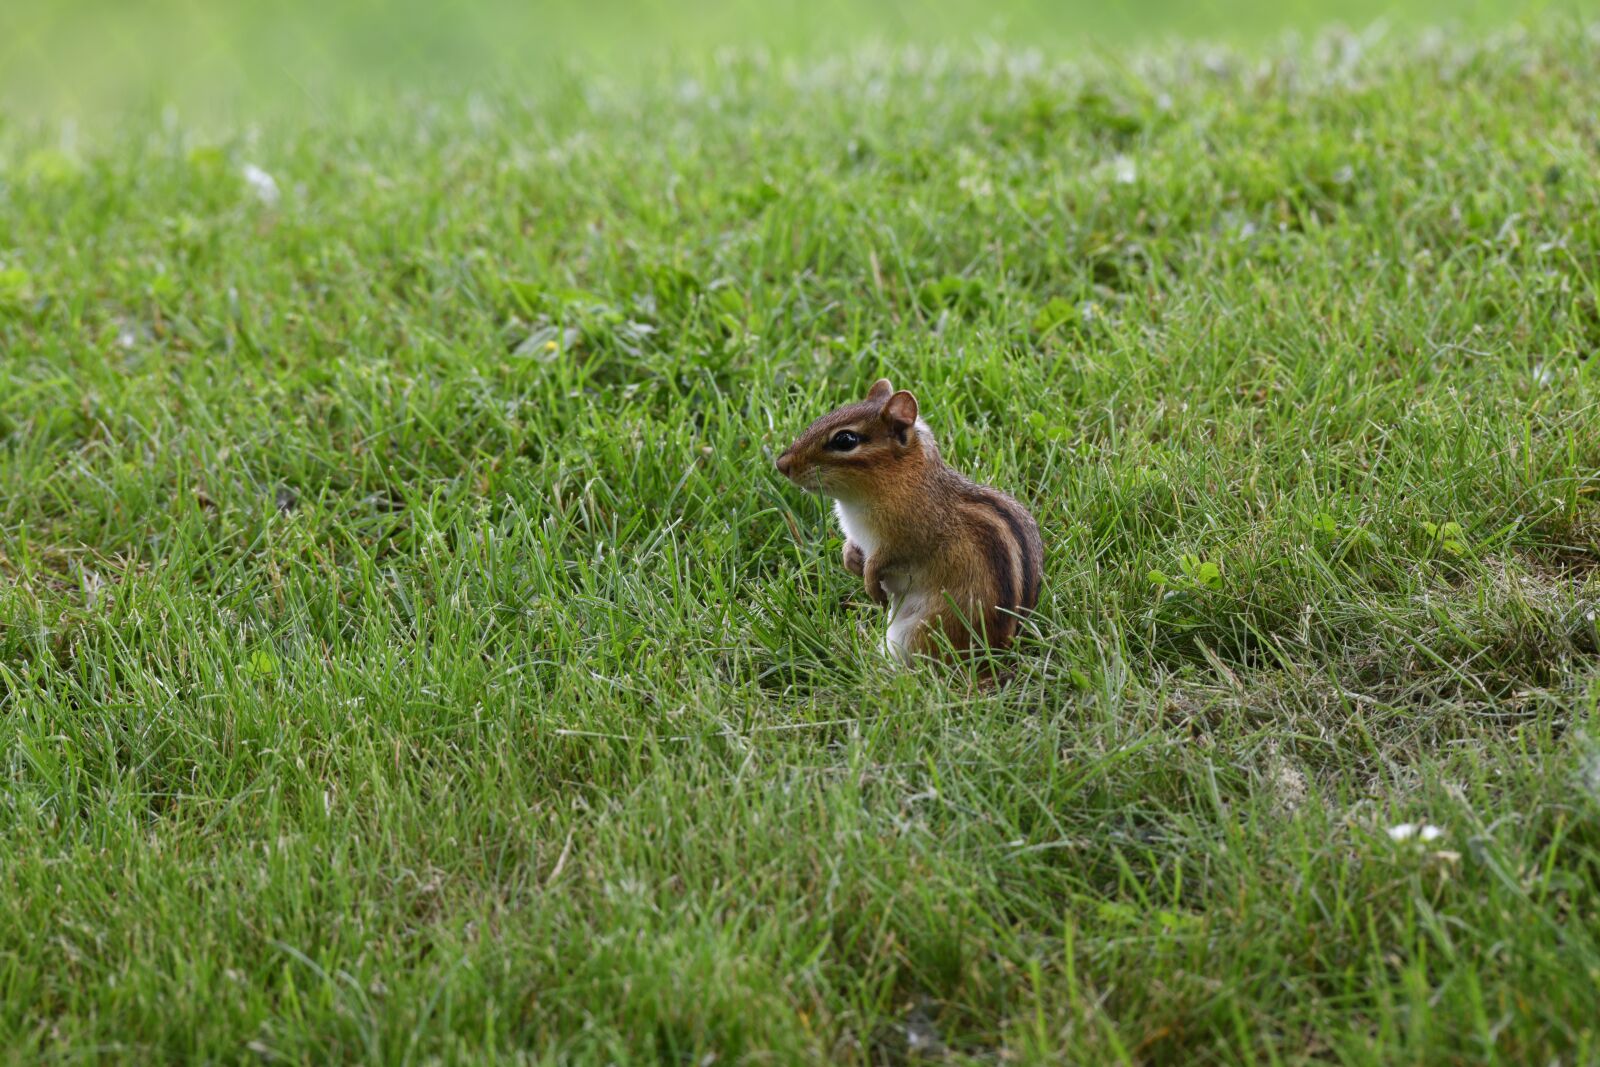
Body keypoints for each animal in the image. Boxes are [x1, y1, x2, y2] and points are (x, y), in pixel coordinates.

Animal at [775, 378, 1043, 668]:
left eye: (845, 440)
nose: (781, 464)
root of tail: (996, 658)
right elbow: (852, 547)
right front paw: (850, 559)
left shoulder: (911, 538)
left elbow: (883, 560)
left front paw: (871, 583)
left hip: (923, 630)